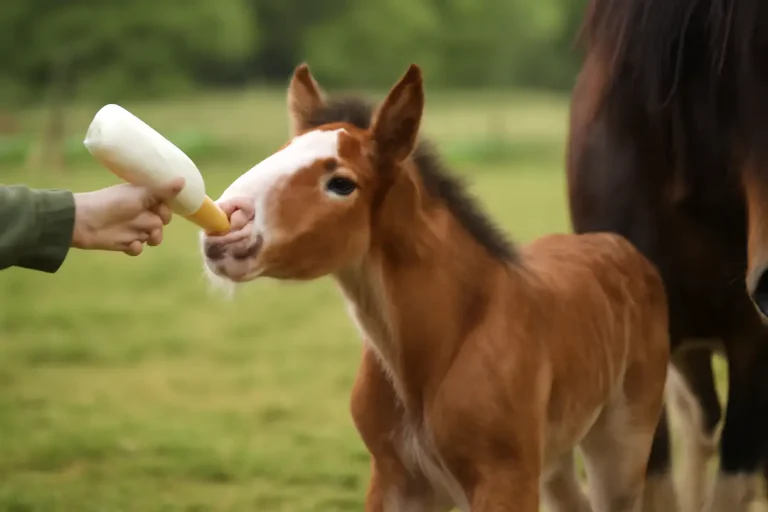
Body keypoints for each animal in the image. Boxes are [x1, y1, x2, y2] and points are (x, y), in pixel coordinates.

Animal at [201, 63, 671, 511]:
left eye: (341, 183)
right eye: (277, 154)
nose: (226, 224)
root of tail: (618, 245)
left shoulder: (505, 481)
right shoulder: (396, 482)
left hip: (621, 443)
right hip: (555, 460)